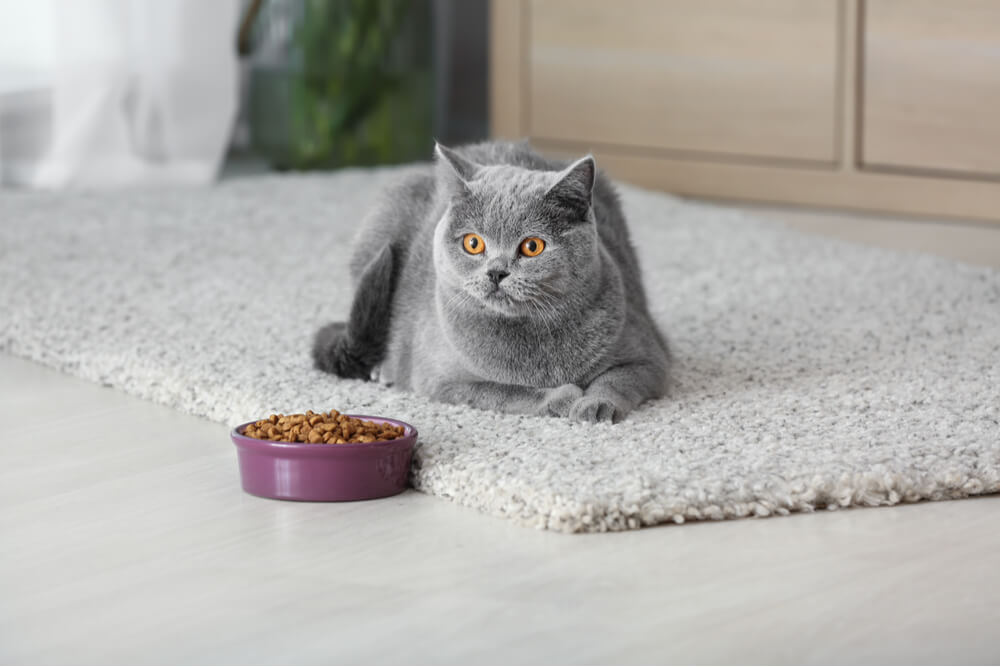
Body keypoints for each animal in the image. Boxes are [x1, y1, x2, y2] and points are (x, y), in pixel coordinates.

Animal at [312, 140, 668, 422]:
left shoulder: (650, 355)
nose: (496, 272)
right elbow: (506, 392)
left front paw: (594, 404)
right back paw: (383, 368)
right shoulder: (443, 382)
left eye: (532, 246)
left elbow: (618, 379)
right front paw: (562, 397)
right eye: (473, 243)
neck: (532, 336)